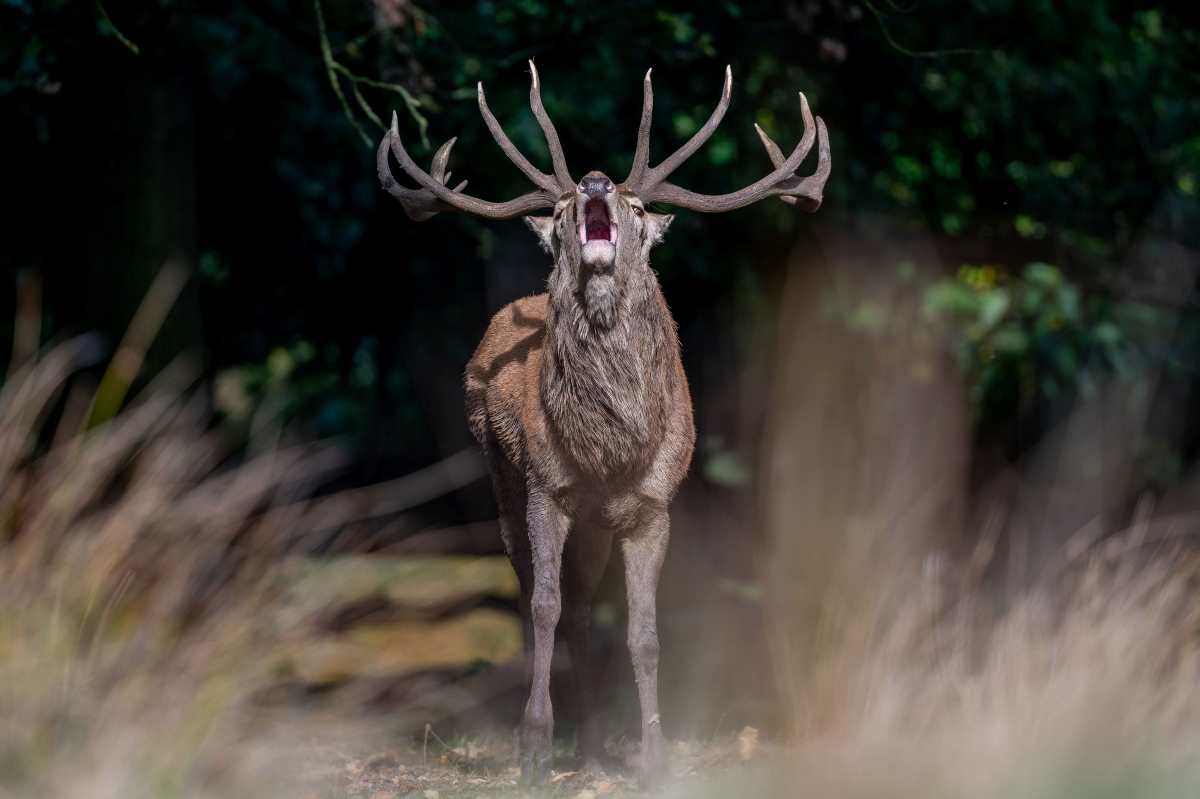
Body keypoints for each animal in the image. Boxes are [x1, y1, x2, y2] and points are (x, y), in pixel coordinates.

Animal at [376, 61, 830, 785]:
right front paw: (535, 747)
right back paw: (548, 736)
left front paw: (653, 755)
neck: (609, 451)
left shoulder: (653, 504)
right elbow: (543, 606)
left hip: (593, 522)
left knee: (587, 605)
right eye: (562, 209)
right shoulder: (546, 487)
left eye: (638, 208)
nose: (593, 181)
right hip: (502, 474)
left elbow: (644, 632)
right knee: (536, 593)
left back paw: (591, 744)